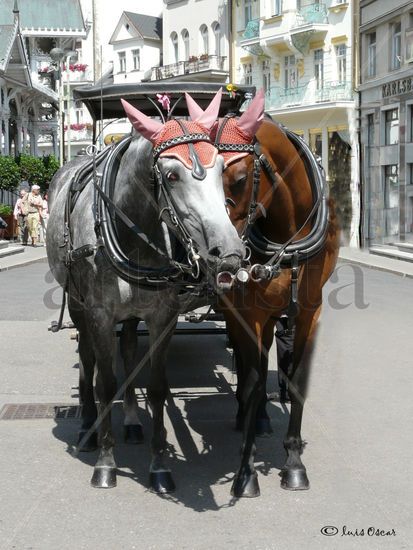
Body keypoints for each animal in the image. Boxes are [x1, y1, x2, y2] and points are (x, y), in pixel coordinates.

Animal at [47, 92, 245, 494]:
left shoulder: (161, 316)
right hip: (77, 303)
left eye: (221, 170)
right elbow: (105, 382)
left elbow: (155, 387)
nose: (229, 252)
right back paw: (88, 427)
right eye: (171, 175)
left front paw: (159, 466)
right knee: (88, 357)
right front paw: (106, 464)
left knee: (127, 350)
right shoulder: (100, 314)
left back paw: (132, 421)